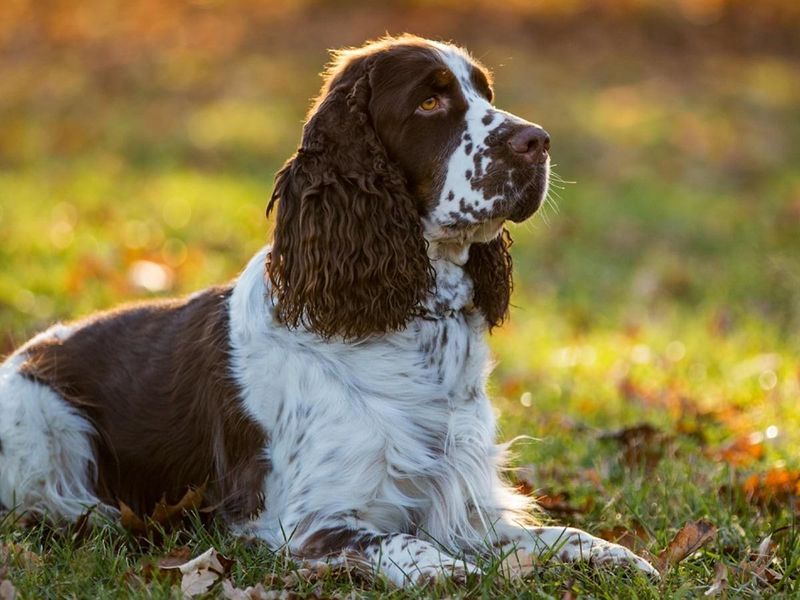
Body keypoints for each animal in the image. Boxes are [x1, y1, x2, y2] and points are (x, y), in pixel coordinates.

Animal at [0, 34, 656, 584]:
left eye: (485, 94)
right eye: (429, 102)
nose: (538, 141)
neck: (414, 321)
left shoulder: (464, 501)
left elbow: (557, 534)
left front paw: (618, 556)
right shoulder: (310, 520)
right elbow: (406, 544)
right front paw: (449, 572)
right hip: (44, 421)